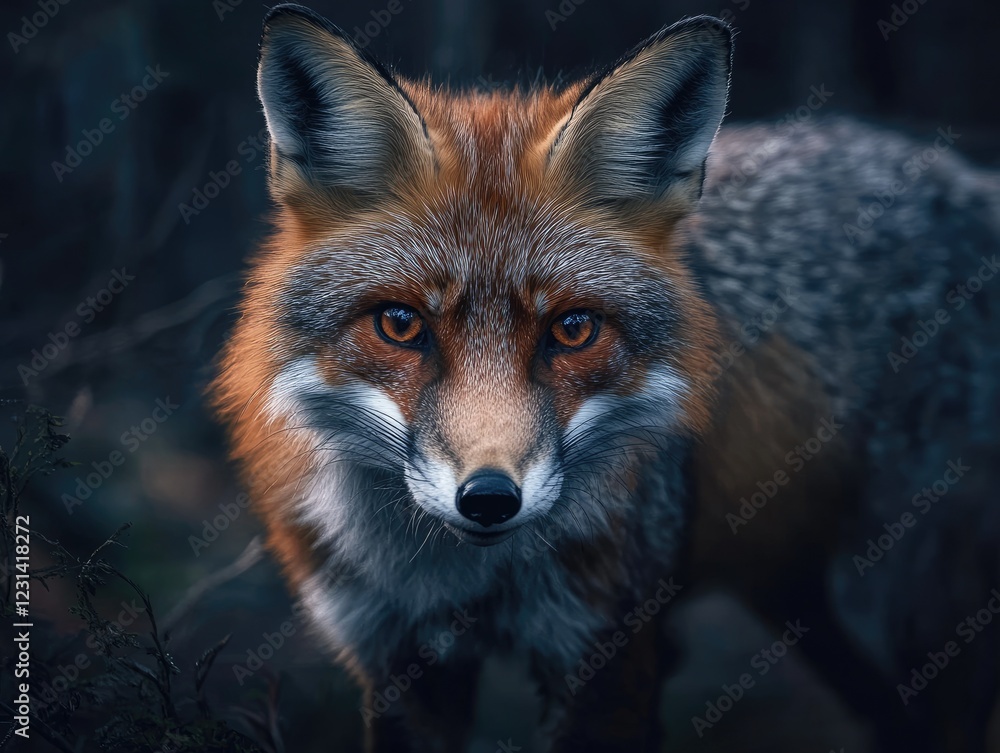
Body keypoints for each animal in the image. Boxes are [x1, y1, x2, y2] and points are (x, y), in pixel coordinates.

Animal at [211, 4, 1000, 752]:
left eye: (573, 329)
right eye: (401, 324)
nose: (490, 499)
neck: (461, 583)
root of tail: (956, 172)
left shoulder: (606, 649)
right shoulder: (399, 659)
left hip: (917, 601)